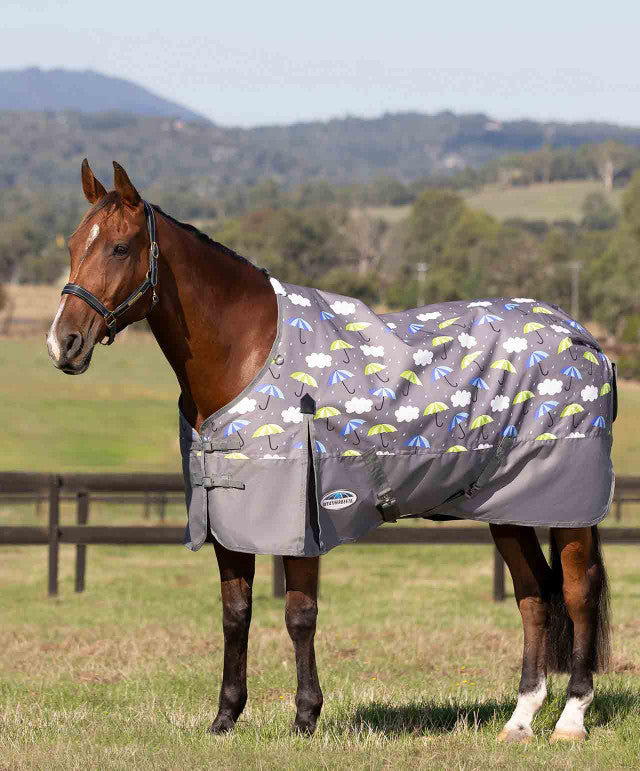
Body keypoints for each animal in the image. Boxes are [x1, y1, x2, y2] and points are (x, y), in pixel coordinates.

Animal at [46, 159, 611, 743]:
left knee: (577, 591)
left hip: (568, 510)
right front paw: (225, 717)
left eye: (120, 247)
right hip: (509, 508)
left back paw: (571, 718)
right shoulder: (228, 516)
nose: (63, 342)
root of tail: (584, 339)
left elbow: (299, 614)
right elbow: (235, 613)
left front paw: (305, 716)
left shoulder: (303, 522)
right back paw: (520, 720)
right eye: (73, 244)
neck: (246, 353)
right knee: (534, 595)